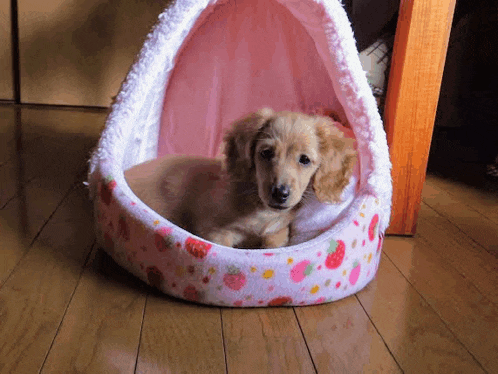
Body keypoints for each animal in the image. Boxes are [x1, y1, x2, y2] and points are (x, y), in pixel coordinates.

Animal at [124, 108, 358, 248]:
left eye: (305, 160)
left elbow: (274, 242)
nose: (280, 194)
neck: (260, 211)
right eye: (266, 153)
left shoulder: (278, 232)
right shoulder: (215, 231)